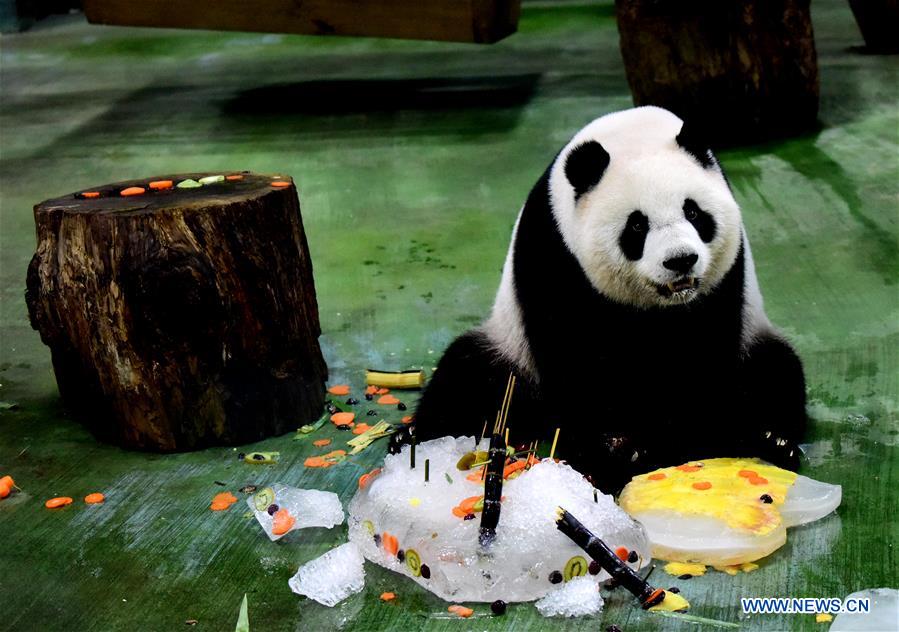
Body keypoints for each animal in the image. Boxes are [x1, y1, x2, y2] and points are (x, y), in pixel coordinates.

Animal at [397, 106, 806, 492]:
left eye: (693, 212)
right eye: (637, 225)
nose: (680, 260)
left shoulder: (724, 280)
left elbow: (703, 354)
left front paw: (688, 435)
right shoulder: (554, 252)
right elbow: (576, 358)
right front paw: (615, 449)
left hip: (754, 338)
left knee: (773, 369)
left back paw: (771, 438)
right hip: (511, 351)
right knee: (473, 376)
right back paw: (415, 436)